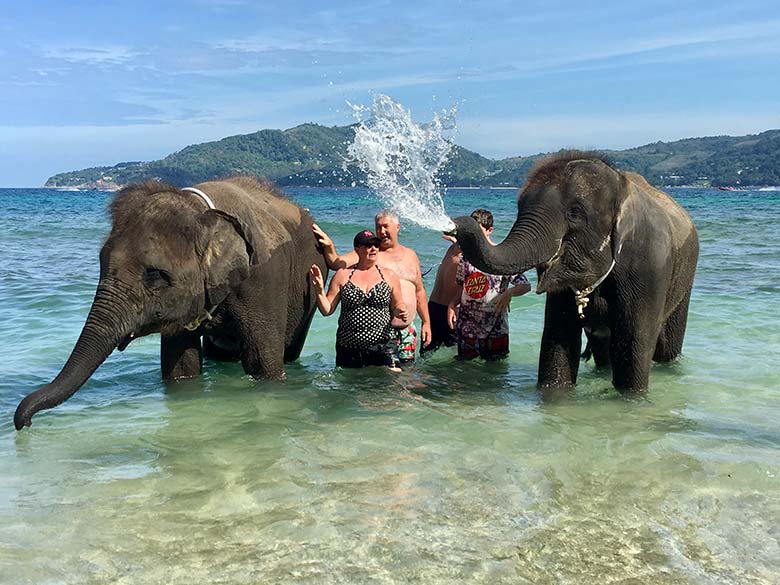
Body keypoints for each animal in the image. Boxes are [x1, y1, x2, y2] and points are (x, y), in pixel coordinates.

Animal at [15, 176, 328, 429]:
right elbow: (180, 367)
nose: (23, 422)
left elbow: (262, 364)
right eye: (101, 262)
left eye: (154, 275)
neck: (200, 210)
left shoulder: (262, 280)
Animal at [452, 151, 699, 393]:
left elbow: (634, 343)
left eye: (575, 212)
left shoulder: (649, 265)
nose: (455, 223)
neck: (621, 185)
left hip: (685, 279)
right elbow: (560, 337)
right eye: (519, 207)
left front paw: (632, 397)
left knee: (666, 347)